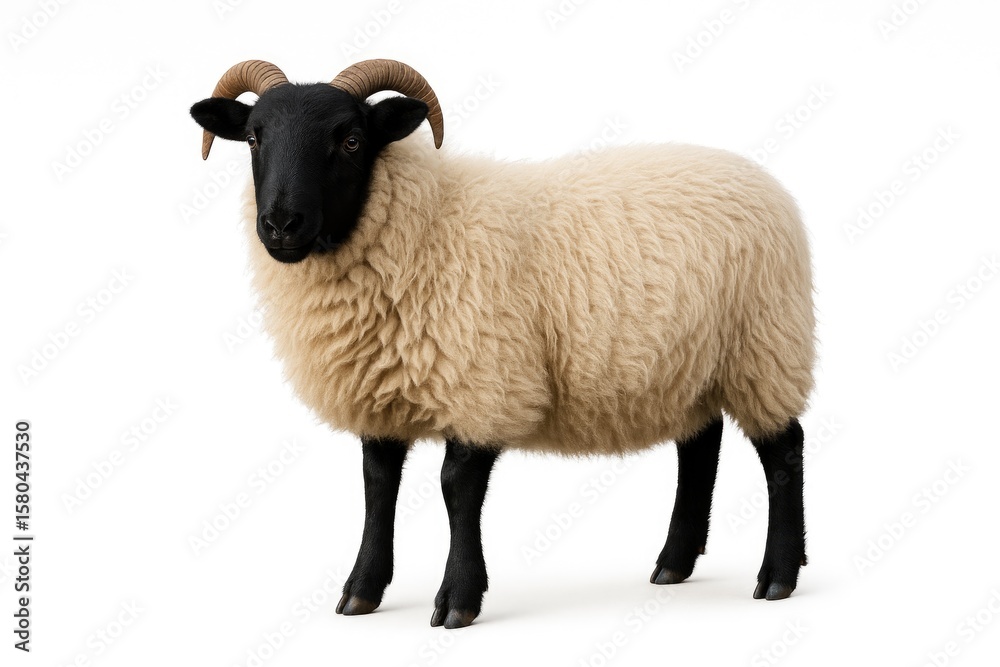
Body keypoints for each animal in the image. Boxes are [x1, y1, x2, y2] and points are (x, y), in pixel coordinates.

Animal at [191, 58, 815, 629]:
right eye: (254, 138)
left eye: (350, 140)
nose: (281, 225)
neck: (426, 227)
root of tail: (760, 178)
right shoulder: (380, 389)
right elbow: (377, 488)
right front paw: (361, 592)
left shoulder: (484, 382)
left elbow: (455, 489)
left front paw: (458, 600)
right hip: (690, 361)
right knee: (700, 446)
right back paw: (673, 564)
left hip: (766, 346)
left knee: (783, 451)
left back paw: (777, 577)